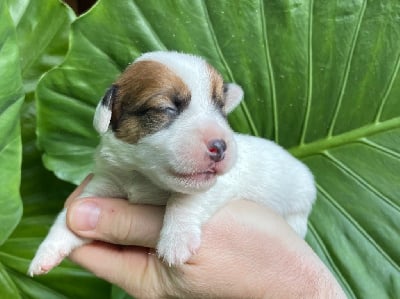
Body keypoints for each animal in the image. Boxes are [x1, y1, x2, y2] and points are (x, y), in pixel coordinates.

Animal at [27, 51, 316, 276]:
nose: (221, 146)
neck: (142, 178)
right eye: (167, 108)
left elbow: (187, 198)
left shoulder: (223, 184)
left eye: (221, 109)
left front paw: (176, 241)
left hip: (298, 212)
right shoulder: (105, 183)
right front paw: (45, 253)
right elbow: (68, 215)